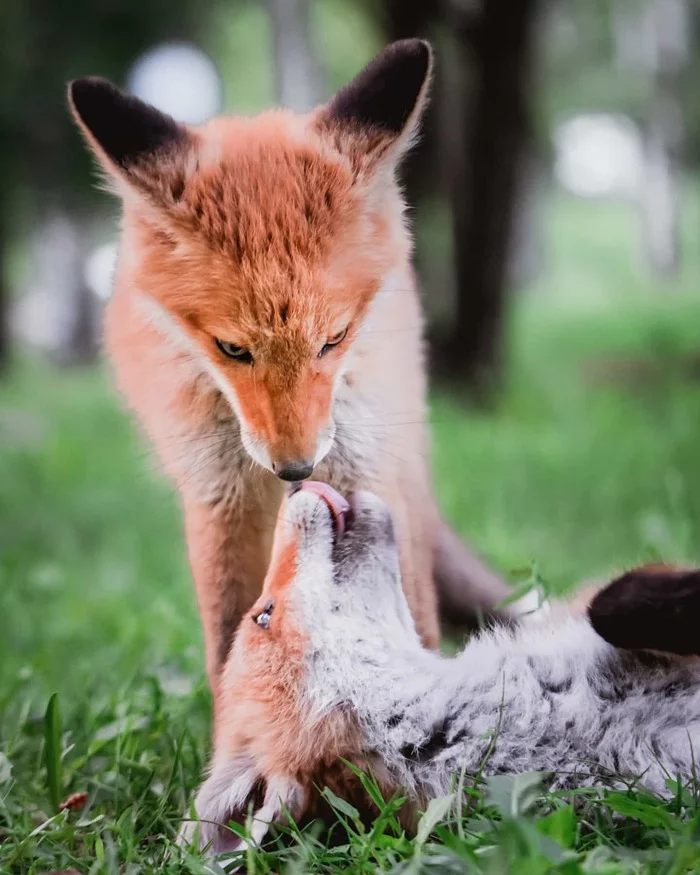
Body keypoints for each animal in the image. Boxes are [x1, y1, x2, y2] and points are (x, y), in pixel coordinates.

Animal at [68, 39, 512, 724]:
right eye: (231, 348)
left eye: (334, 338)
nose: (295, 470)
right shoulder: (219, 492)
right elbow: (228, 634)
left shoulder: (363, 461)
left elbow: (409, 611)